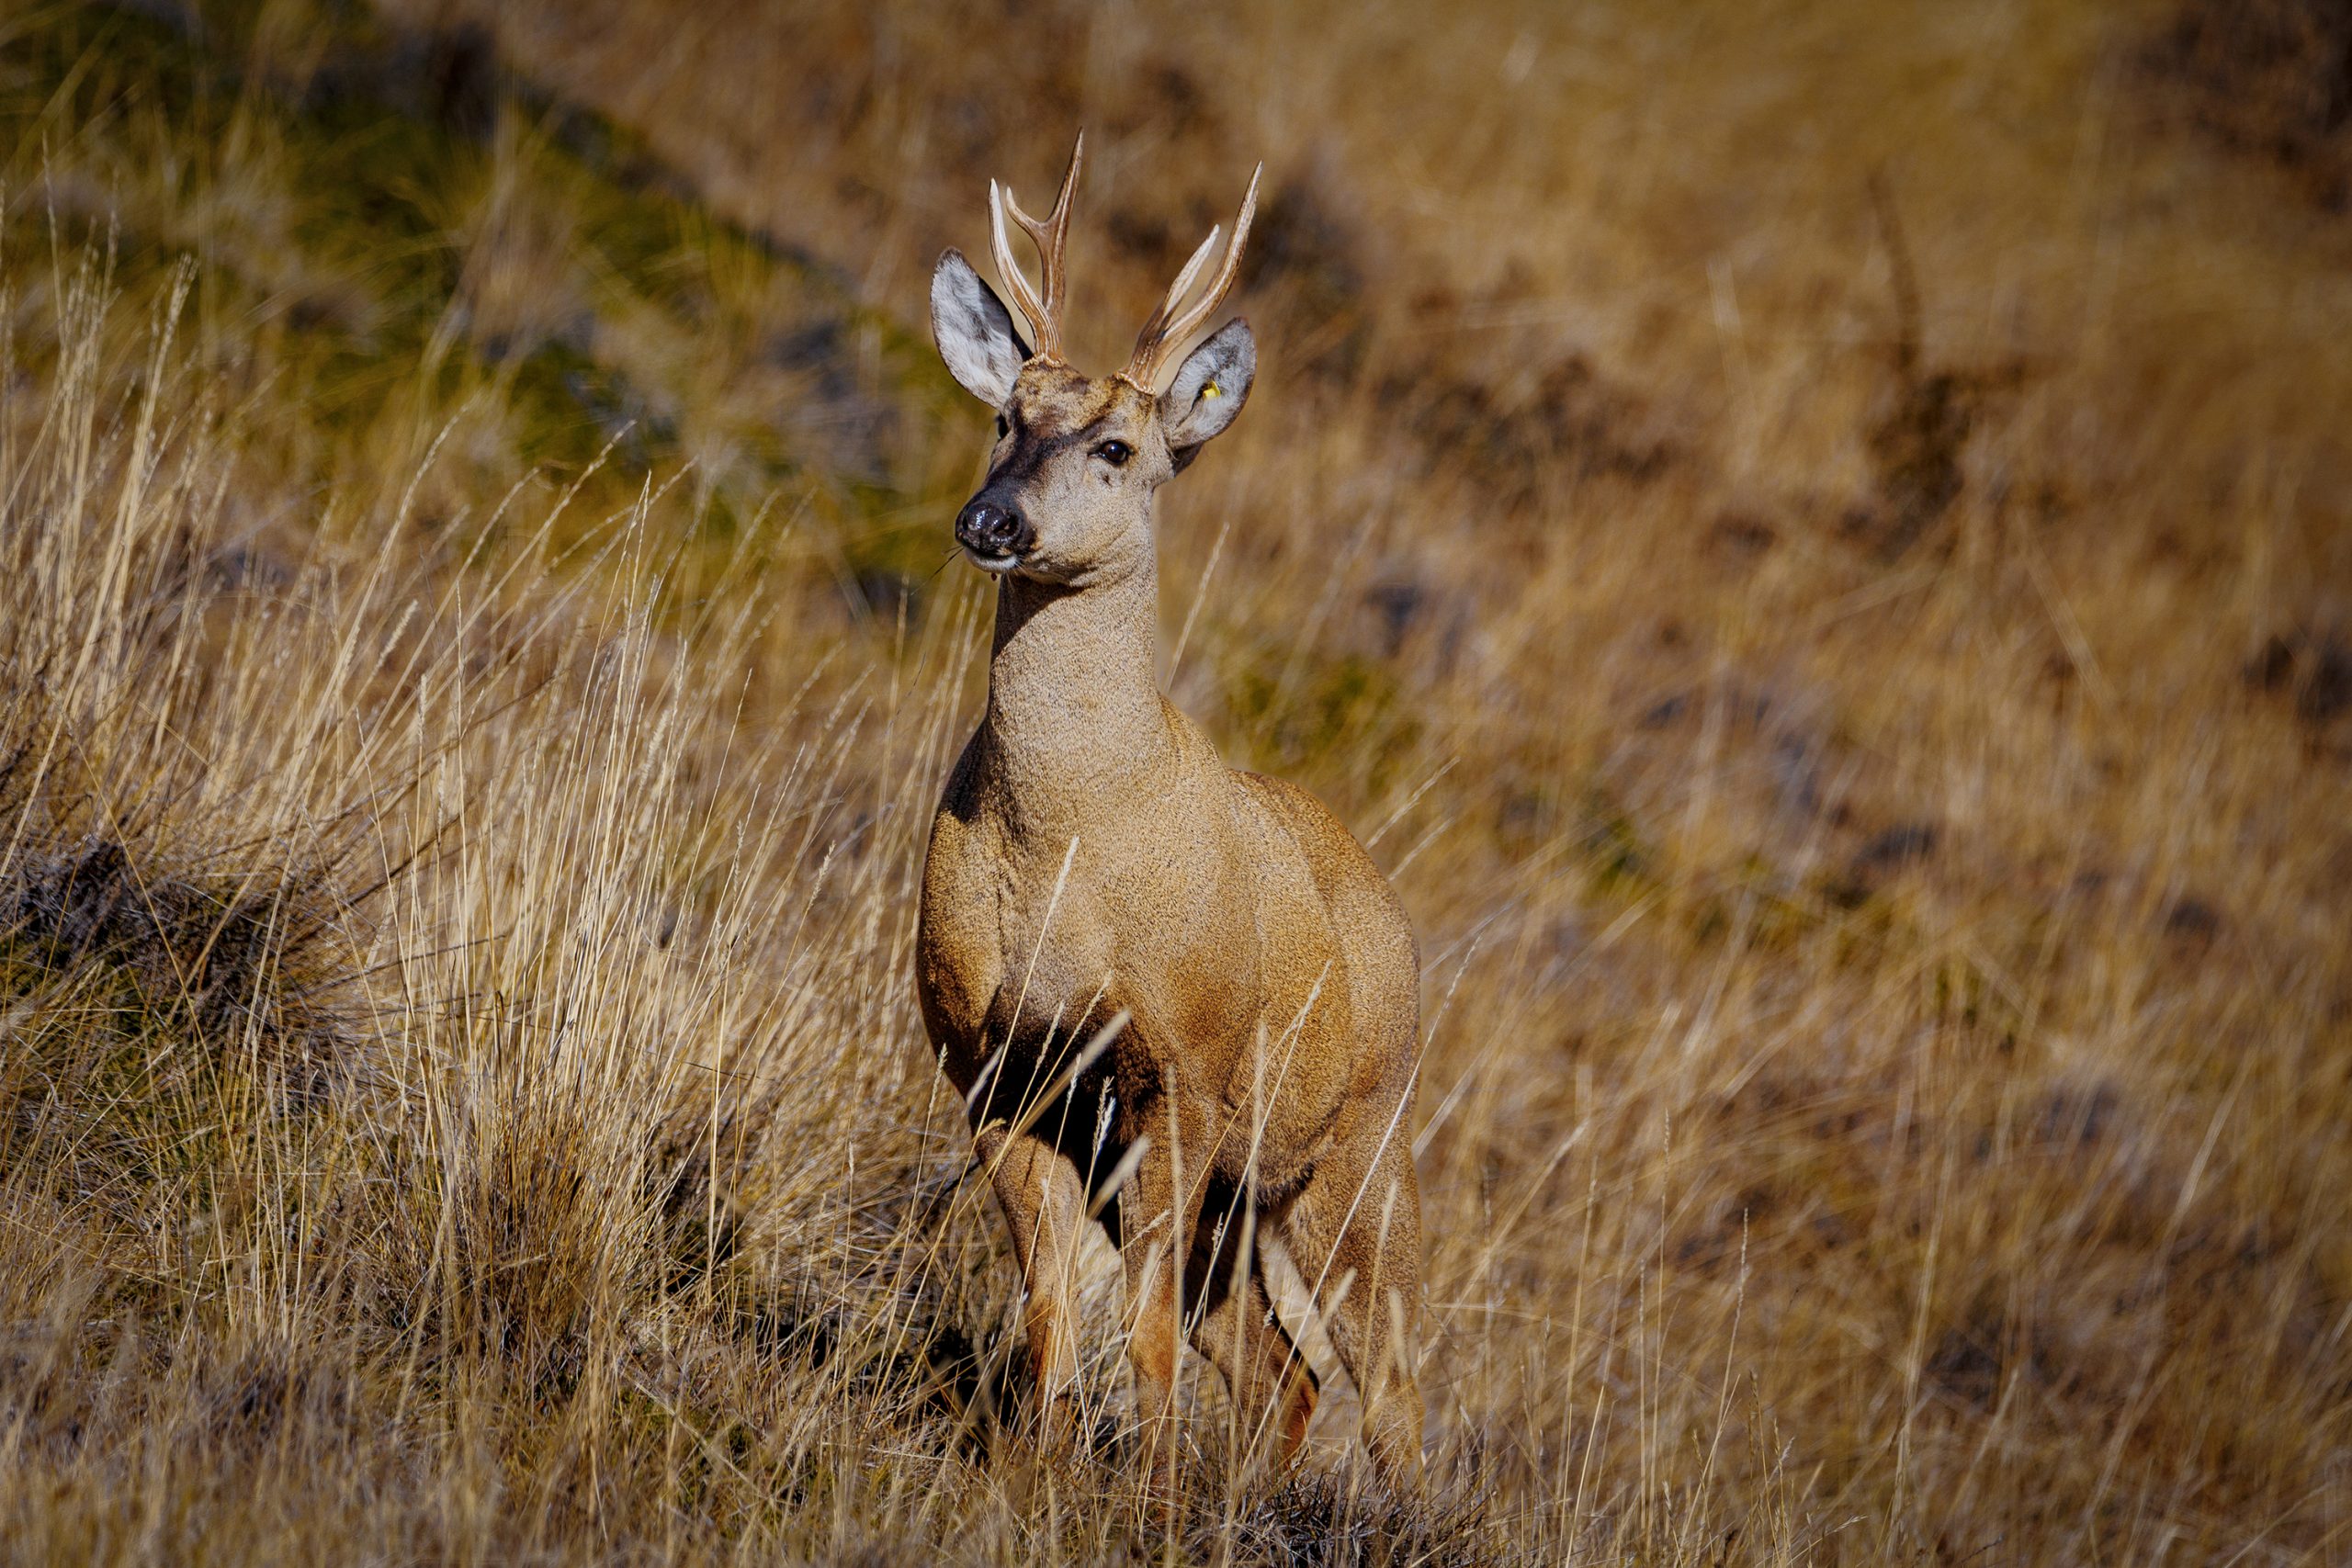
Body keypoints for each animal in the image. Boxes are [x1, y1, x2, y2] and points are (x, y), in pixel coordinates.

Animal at [915, 133, 1425, 1497]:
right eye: (1004, 417)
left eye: (1117, 450)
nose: (990, 519)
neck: (1064, 850)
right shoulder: (992, 1063)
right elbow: (1050, 1308)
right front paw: (1033, 1477)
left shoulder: (1184, 1068)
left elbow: (1134, 1326)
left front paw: (1133, 1503)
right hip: (1242, 1196)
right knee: (1282, 1367)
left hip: (1356, 1144)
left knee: (1392, 1380)